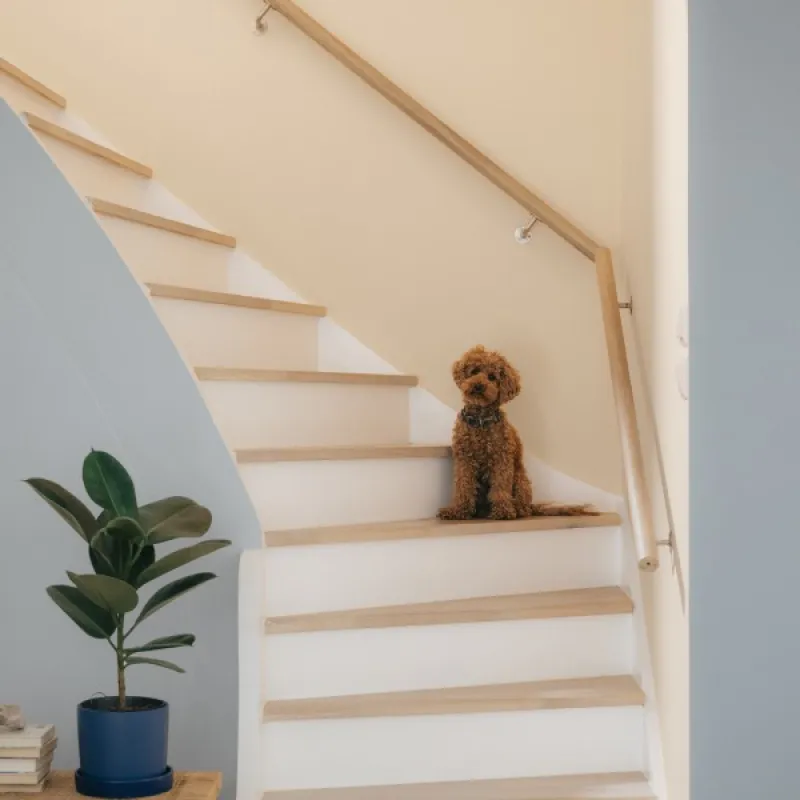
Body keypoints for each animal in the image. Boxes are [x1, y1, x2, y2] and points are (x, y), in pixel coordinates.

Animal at [438, 345, 596, 521]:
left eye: (492, 377)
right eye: (474, 371)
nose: (479, 385)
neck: (480, 420)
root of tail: (531, 506)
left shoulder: (501, 459)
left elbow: (500, 486)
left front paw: (503, 511)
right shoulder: (464, 459)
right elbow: (463, 486)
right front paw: (458, 510)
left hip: (521, 479)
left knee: (523, 505)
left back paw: (516, 510)